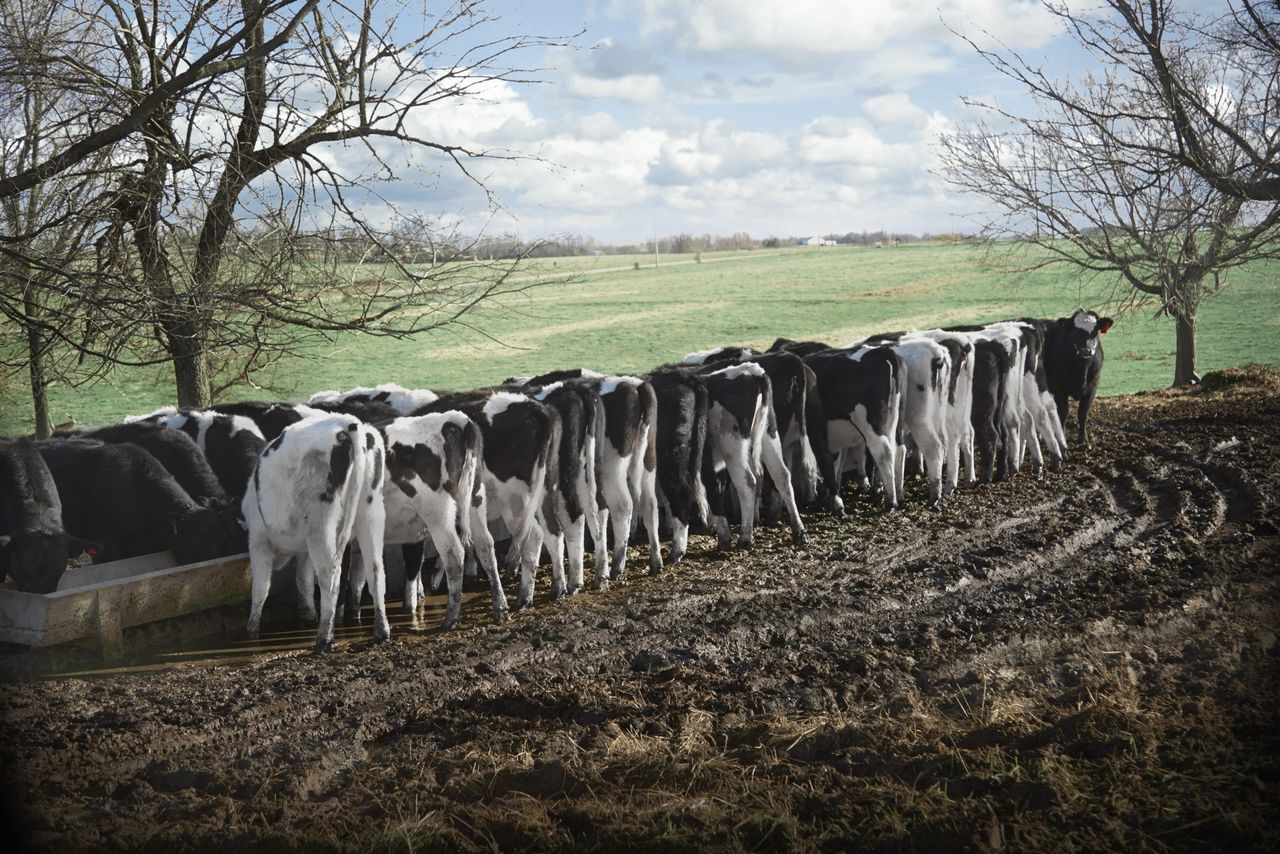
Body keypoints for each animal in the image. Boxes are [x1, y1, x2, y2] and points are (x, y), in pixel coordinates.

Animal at [243, 414, 389, 652]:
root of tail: (346, 422)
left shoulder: (257, 540)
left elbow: (261, 587)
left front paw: (252, 630)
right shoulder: (303, 551)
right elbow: (303, 580)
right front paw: (308, 614)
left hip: (319, 524)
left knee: (330, 577)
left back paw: (324, 640)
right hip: (371, 511)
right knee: (375, 571)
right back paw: (382, 632)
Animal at [1043, 309, 1113, 446]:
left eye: (1095, 330)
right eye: (1075, 331)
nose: (1085, 351)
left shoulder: (1092, 387)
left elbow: (1083, 413)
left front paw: (1083, 440)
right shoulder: (1059, 389)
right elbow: (1063, 413)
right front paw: (1063, 439)